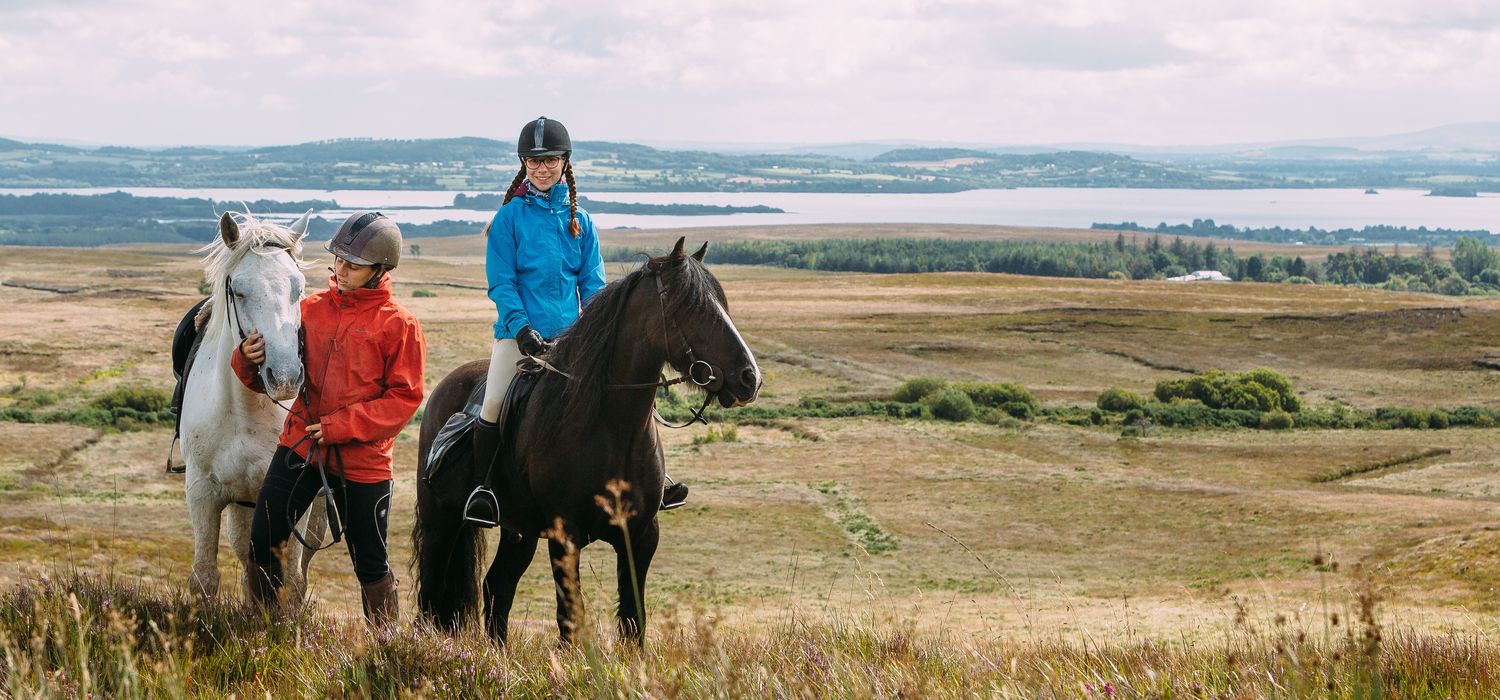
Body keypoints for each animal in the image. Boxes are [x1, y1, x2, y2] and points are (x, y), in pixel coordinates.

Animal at [181, 211, 322, 599]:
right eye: (239, 291)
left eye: (298, 288)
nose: (285, 376)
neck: (245, 411)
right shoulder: (202, 493)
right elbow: (205, 576)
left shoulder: (291, 498)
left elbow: (291, 580)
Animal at [414, 239, 756, 647]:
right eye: (691, 307)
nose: (749, 377)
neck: (611, 429)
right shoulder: (566, 536)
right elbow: (570, 618)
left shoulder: (641, 535)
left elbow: (633, 620)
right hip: (441, 521)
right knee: (432, 593)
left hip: (518, 531)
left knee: (497, 585)